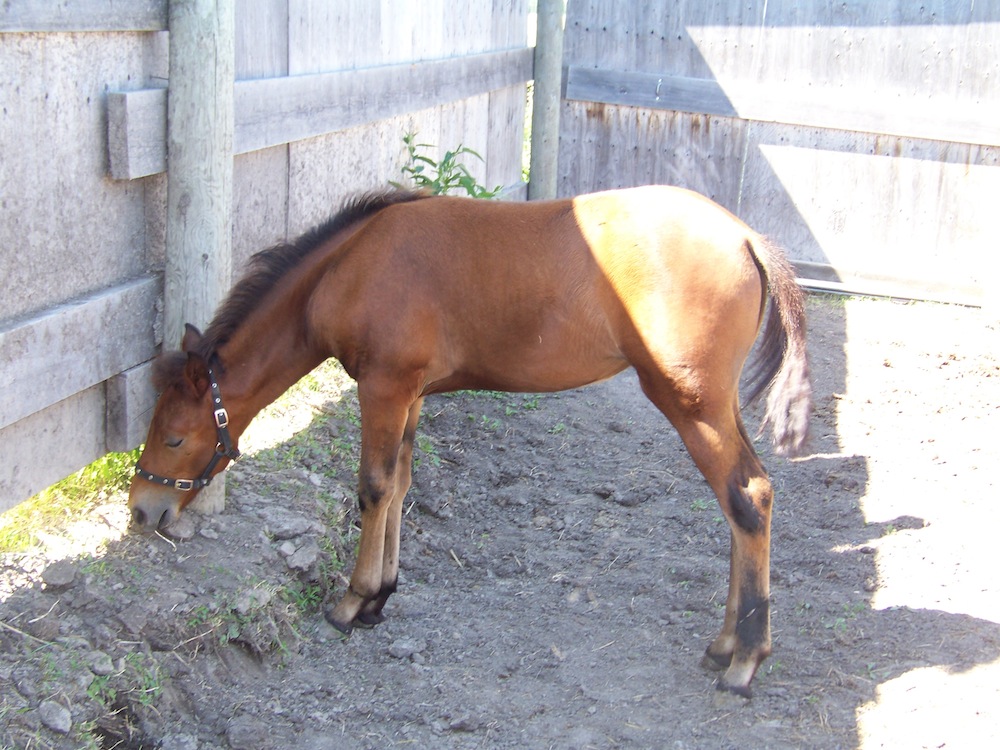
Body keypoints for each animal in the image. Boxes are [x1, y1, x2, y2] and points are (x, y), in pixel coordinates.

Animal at [128, 185, 811, 698]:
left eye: (174, 438)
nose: (142, 510)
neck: (352, 265)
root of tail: (746, 238)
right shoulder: (410, 393)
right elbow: (400, 485)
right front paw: (381, 597)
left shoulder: (382, 387)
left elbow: (372, 487)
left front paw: (352, 603)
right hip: (716, 407)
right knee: (743, 504)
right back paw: (725, 644)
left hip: (691, 405)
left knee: (748, 497)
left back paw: (745, 660)